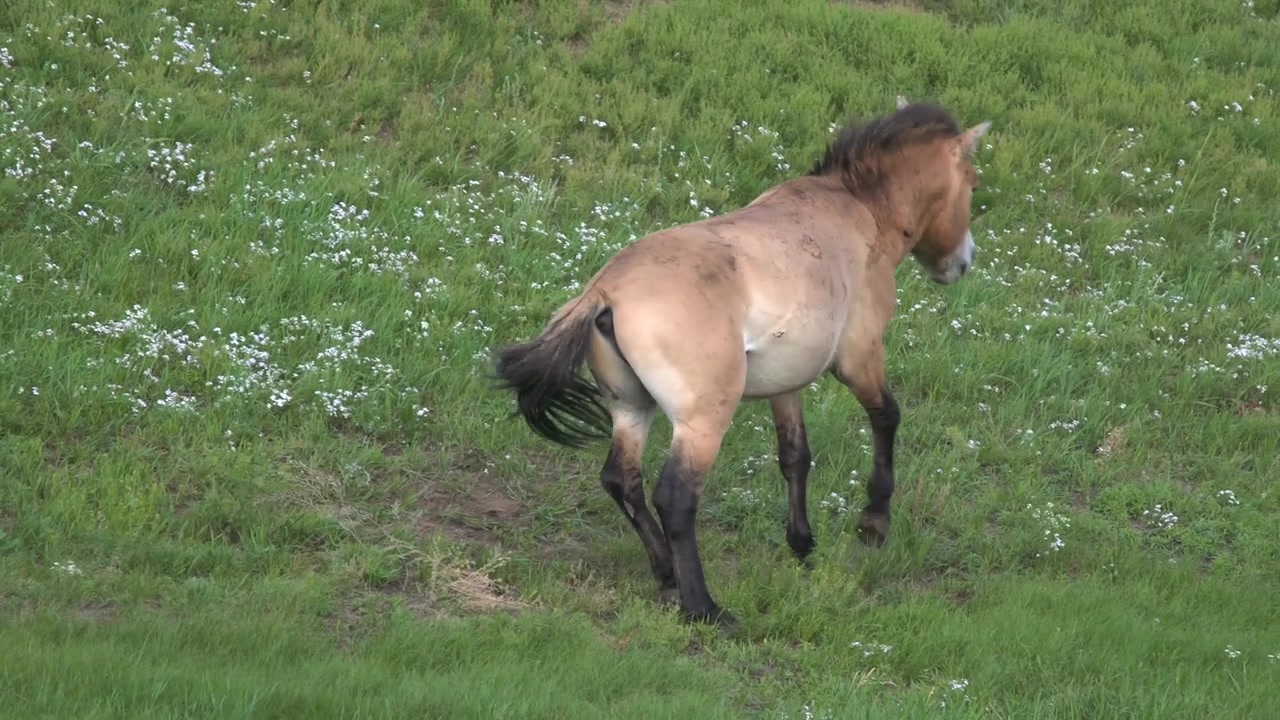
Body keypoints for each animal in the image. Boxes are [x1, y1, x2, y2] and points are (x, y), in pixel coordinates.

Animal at [493, 98, 991, 628]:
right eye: (973, 182)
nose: (963, 261)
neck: (855, 210)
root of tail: (605, 293)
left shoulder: (785, 384)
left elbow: (795, 457)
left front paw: (802, 545)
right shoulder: (859, 358)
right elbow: (886, 417)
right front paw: (874, 522)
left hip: (630, 409)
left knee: (621, 480)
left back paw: (666, 574)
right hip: (702, 422)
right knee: (675, 498)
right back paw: (704, 607)